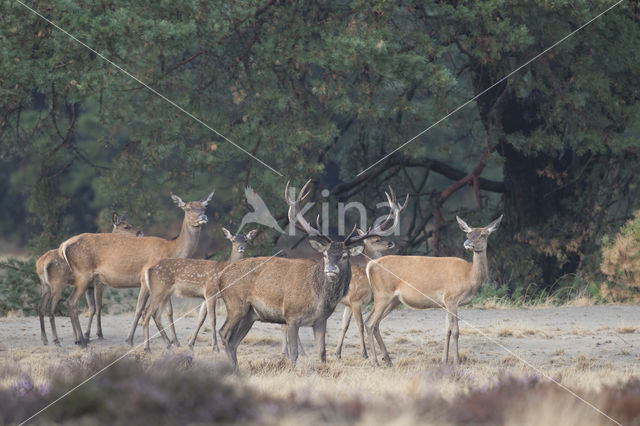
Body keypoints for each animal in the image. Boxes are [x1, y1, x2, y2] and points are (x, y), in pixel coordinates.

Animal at [36, 213, 142, 346]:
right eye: (126, 227)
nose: (140, 232)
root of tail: (41, 263)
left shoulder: (89, 286)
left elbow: (91, 308)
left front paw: (85, 336)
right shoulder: (99, 282)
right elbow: (98, 306)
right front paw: (98, 334)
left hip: (45, 285)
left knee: (41, 307)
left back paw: (45, 339)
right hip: (57, 284)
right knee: (52, 307)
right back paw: (56, 340)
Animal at [58, 191, 212, 348]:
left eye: (204, 207)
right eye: (188, 208)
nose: (203, 217)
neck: (172, 250)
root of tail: (64, 246)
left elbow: (167, 311)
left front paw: (175, 341)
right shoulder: (146, 281)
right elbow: (140, 309)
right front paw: (131, 339)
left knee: (74, 303)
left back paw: (79, 339)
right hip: (84, 274)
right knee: (72, 302)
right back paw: (82, 341)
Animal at [218, 179, 402, 366]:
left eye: (345, 256)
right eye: (325, 254)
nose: (331, 269)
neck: (317, 297)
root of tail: (222, 276)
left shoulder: (321, 320)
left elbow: (322, 353)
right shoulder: (291, 315)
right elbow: (294, 354)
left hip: (251, 314)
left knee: (234, 341)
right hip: (235, 304)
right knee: (224, 334)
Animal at [362, 216, 502, 366]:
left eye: (483, 234)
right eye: (468, 234)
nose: (467, 243)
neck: (469, 276)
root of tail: (370, 265)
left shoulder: (446, 302)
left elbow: (447, 330)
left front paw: (444, 360)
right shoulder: (452, 298)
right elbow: (456, 330)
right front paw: (456, 361)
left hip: (393, 300)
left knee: (375, 323)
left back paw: (388, 360)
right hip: (382, 295)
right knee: (370, 323)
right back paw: (375, 361)